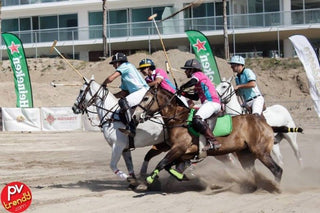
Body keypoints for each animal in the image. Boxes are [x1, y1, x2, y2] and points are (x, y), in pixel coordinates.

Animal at [131, 85, 286, 187]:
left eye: (146, 98)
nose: (135, 116)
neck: (179, 119)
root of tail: (266, 124)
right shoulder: (185, 153)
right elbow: (169, 165)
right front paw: (181, 176)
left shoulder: (179, 148)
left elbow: (162, 162)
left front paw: (150, 180)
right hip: (245, 155)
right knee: (253, 172)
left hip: (260, 151)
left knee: (277, 170)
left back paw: (275, 187)